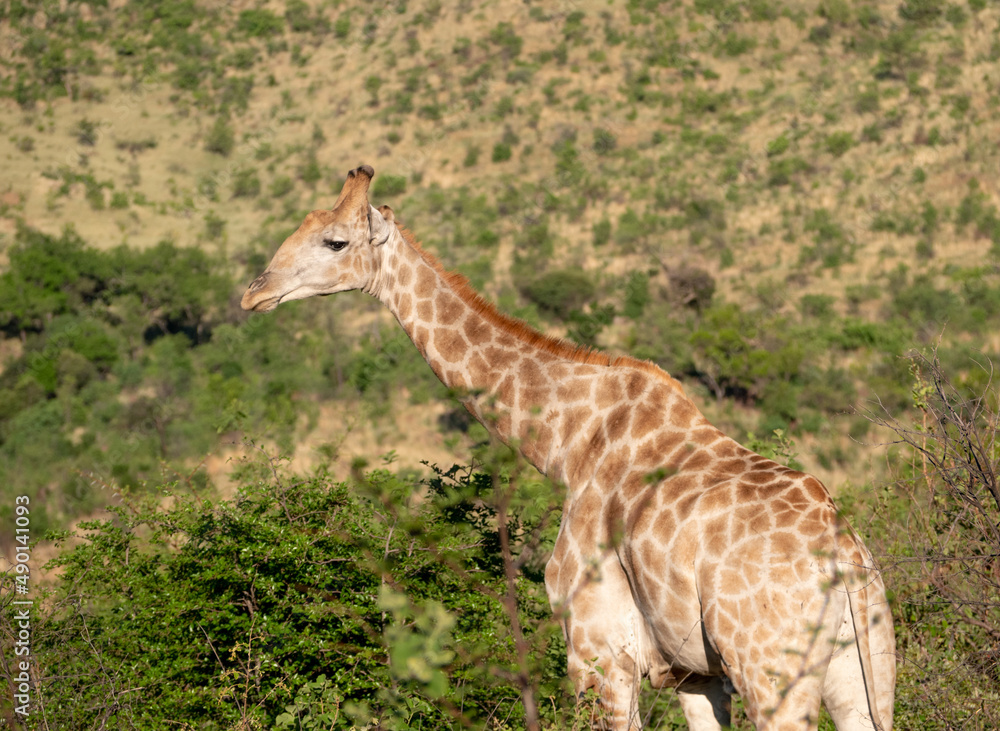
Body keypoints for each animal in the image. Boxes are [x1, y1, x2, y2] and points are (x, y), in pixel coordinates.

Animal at [242, 166, 900, 731]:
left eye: (334, 242)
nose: (253, 293)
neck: (566, 445)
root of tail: (845, 559)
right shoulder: (694, 673)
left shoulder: (597, 647)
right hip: (864, 668)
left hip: (771, 669)